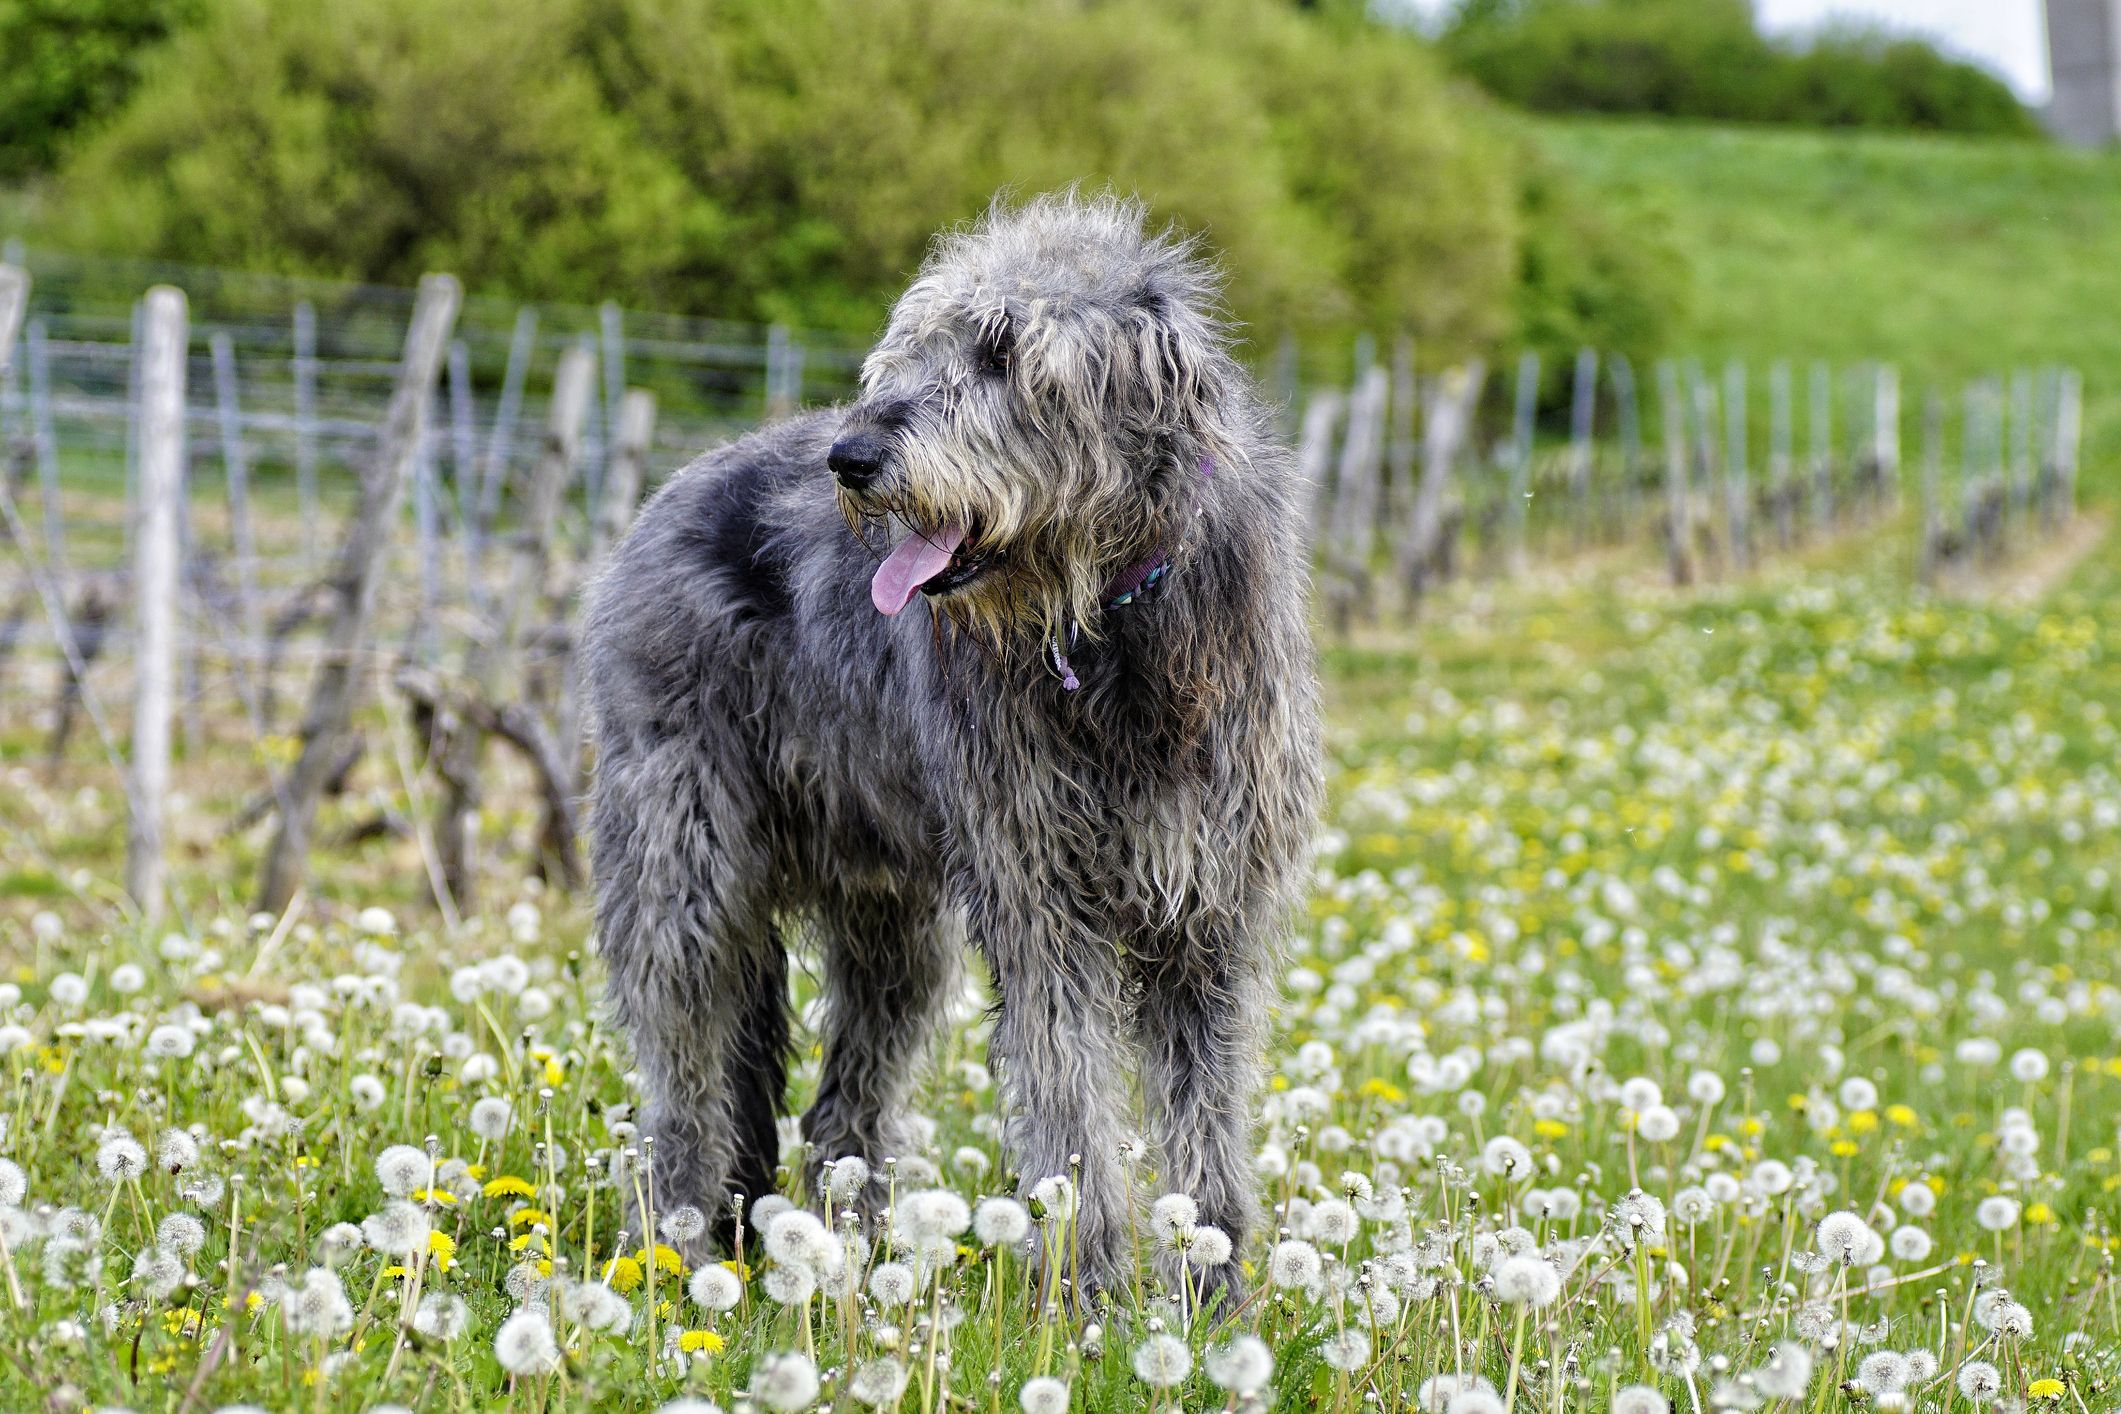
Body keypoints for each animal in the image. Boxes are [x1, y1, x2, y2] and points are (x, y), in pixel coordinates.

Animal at [581, 190, 1306, 1305]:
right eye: (912, 346)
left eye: (1003, 352)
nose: (851, 459)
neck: (1109, 626)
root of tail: (671, 491)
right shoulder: (1041, 895)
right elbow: (1066, 1098)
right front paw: (1087, 1294)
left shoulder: (1208, 904)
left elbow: (1207, 1111)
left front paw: (1215, 1296)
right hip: (682, 863)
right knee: (684, 1074)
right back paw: (681, 1247)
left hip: (890, 921)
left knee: (846, 1100)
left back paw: (854, 1251)